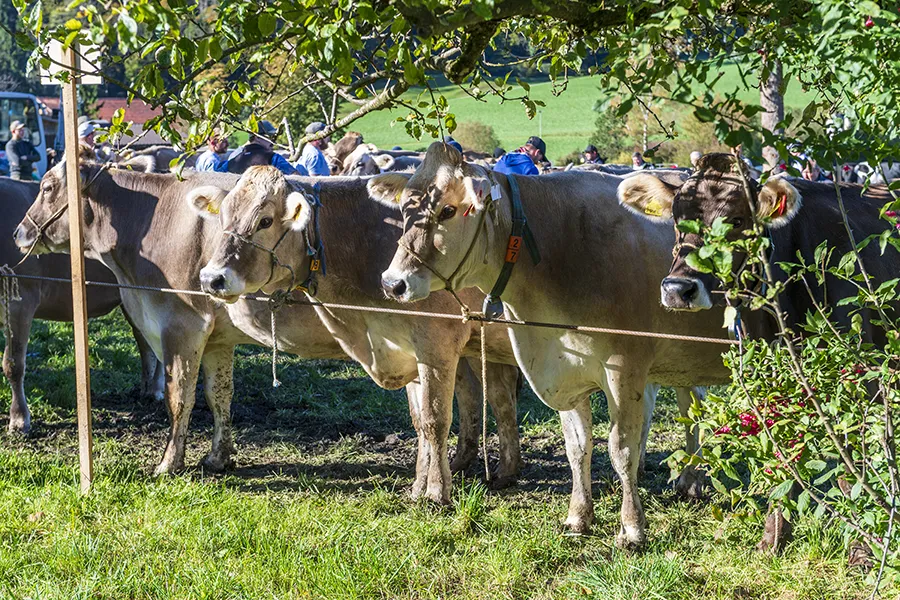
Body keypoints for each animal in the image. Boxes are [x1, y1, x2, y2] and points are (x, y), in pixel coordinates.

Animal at [0, 176, 162, 434]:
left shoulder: (21, 300)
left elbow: (13, 363)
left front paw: (19, 418)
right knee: (144, 340)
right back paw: (147, 387)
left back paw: (156, 388)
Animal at [368, 142, 732, 548]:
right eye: (404, 209)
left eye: (448, 210)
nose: (393, 283)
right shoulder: (563, 369)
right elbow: (577, 447)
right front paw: (578, 516)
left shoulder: (626, 368)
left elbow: (622, 449)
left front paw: (632, 528)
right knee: (691, 404)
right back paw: (690, 478)